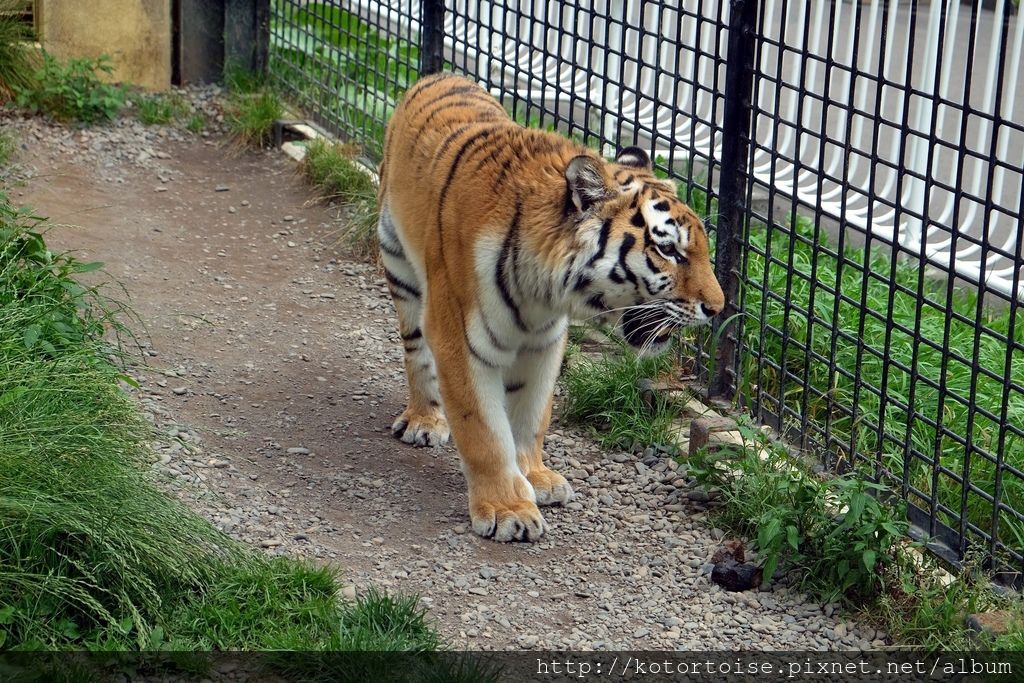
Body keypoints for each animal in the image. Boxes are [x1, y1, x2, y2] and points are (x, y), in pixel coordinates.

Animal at [378, 73, 729, 544]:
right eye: (669, 250)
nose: (718, 307)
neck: (544, 293)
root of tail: (442, 75)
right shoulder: (460, 342)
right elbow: (484, 432)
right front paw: (508, 510)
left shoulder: (544, 343)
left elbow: (531, 415)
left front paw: (535, 478)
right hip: (400, 266)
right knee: (415, 351)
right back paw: (423, 420)